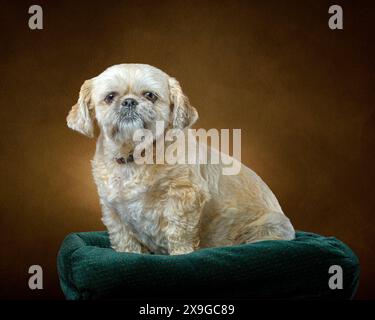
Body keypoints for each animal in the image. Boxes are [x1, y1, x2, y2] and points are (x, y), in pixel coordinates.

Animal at [68, 63, 296, 255]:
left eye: (150, 95)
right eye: (110, 97)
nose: (129, 101)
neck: (137, 155)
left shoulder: (185, 196)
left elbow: (178, 230)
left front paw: (181, 254)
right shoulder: (113, 210)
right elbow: (124, 239)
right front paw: (129, 256)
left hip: (270, 225)